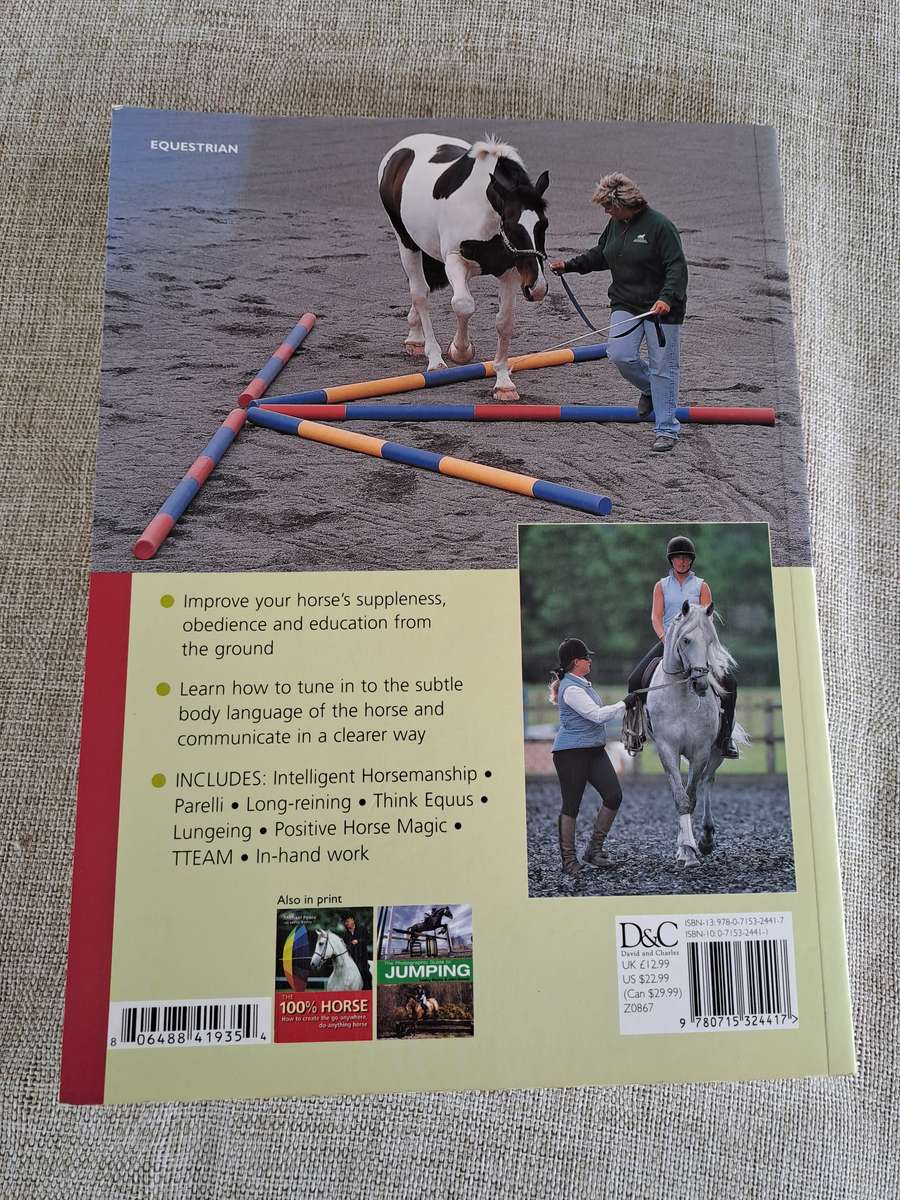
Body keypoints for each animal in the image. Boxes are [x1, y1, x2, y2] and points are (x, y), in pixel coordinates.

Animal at [378, 133, 550, 401]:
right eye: (512, 226)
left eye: (544, 224)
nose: (537, 287)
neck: (482, 207)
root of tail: (400, 150)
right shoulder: (454, 259)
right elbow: (463, 305)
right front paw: (460, 350)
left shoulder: (510, 271)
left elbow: (505, 322)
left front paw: (503, 382)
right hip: (406, 243)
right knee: (420, 294)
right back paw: (434, 358)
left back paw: (415, 338)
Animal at [646, 601, 749, 868]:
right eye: (686, 640)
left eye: (710, 641)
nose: (701, 683)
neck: (681, 696)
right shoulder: (667, 749)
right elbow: (680, 797)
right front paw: (685, 850)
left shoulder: (700, 751)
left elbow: (691, 796)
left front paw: (692, 849)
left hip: (717, 752)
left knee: (706, 782)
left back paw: (706, 839)